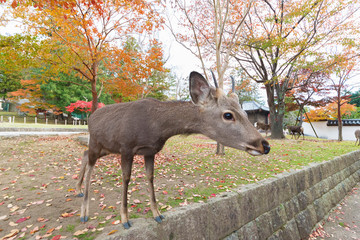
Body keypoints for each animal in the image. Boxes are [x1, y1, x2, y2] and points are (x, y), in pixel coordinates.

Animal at [74, 71, 268, 229]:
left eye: (245, 113)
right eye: (228, 115)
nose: (264, 145)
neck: (157, 127)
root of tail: (90, 117)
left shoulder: (150, 151)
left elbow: (150, 177)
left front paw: (158, 214)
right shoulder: (126, 147)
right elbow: (126, 179)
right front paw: (125, 219)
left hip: (105, 147)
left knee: (84, 154)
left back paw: (78, 190)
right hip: (96, 143)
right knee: (90, 164)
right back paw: (84, 213)